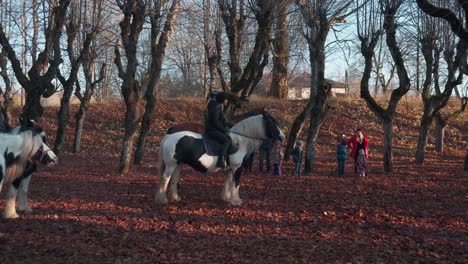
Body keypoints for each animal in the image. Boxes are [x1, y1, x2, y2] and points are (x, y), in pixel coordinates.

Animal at [155, 112, 284, 205]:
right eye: (272, 124)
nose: (282, 137)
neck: (239, 141)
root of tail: (169, 136)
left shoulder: (231, 168)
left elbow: (228, 181)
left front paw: (226, 198)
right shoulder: (237, 168)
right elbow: (236, 183)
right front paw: (236, 201)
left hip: (178, 164)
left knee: (174, 179)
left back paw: (175, 198)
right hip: (171, 164)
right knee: (165, 178)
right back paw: (162, 200)